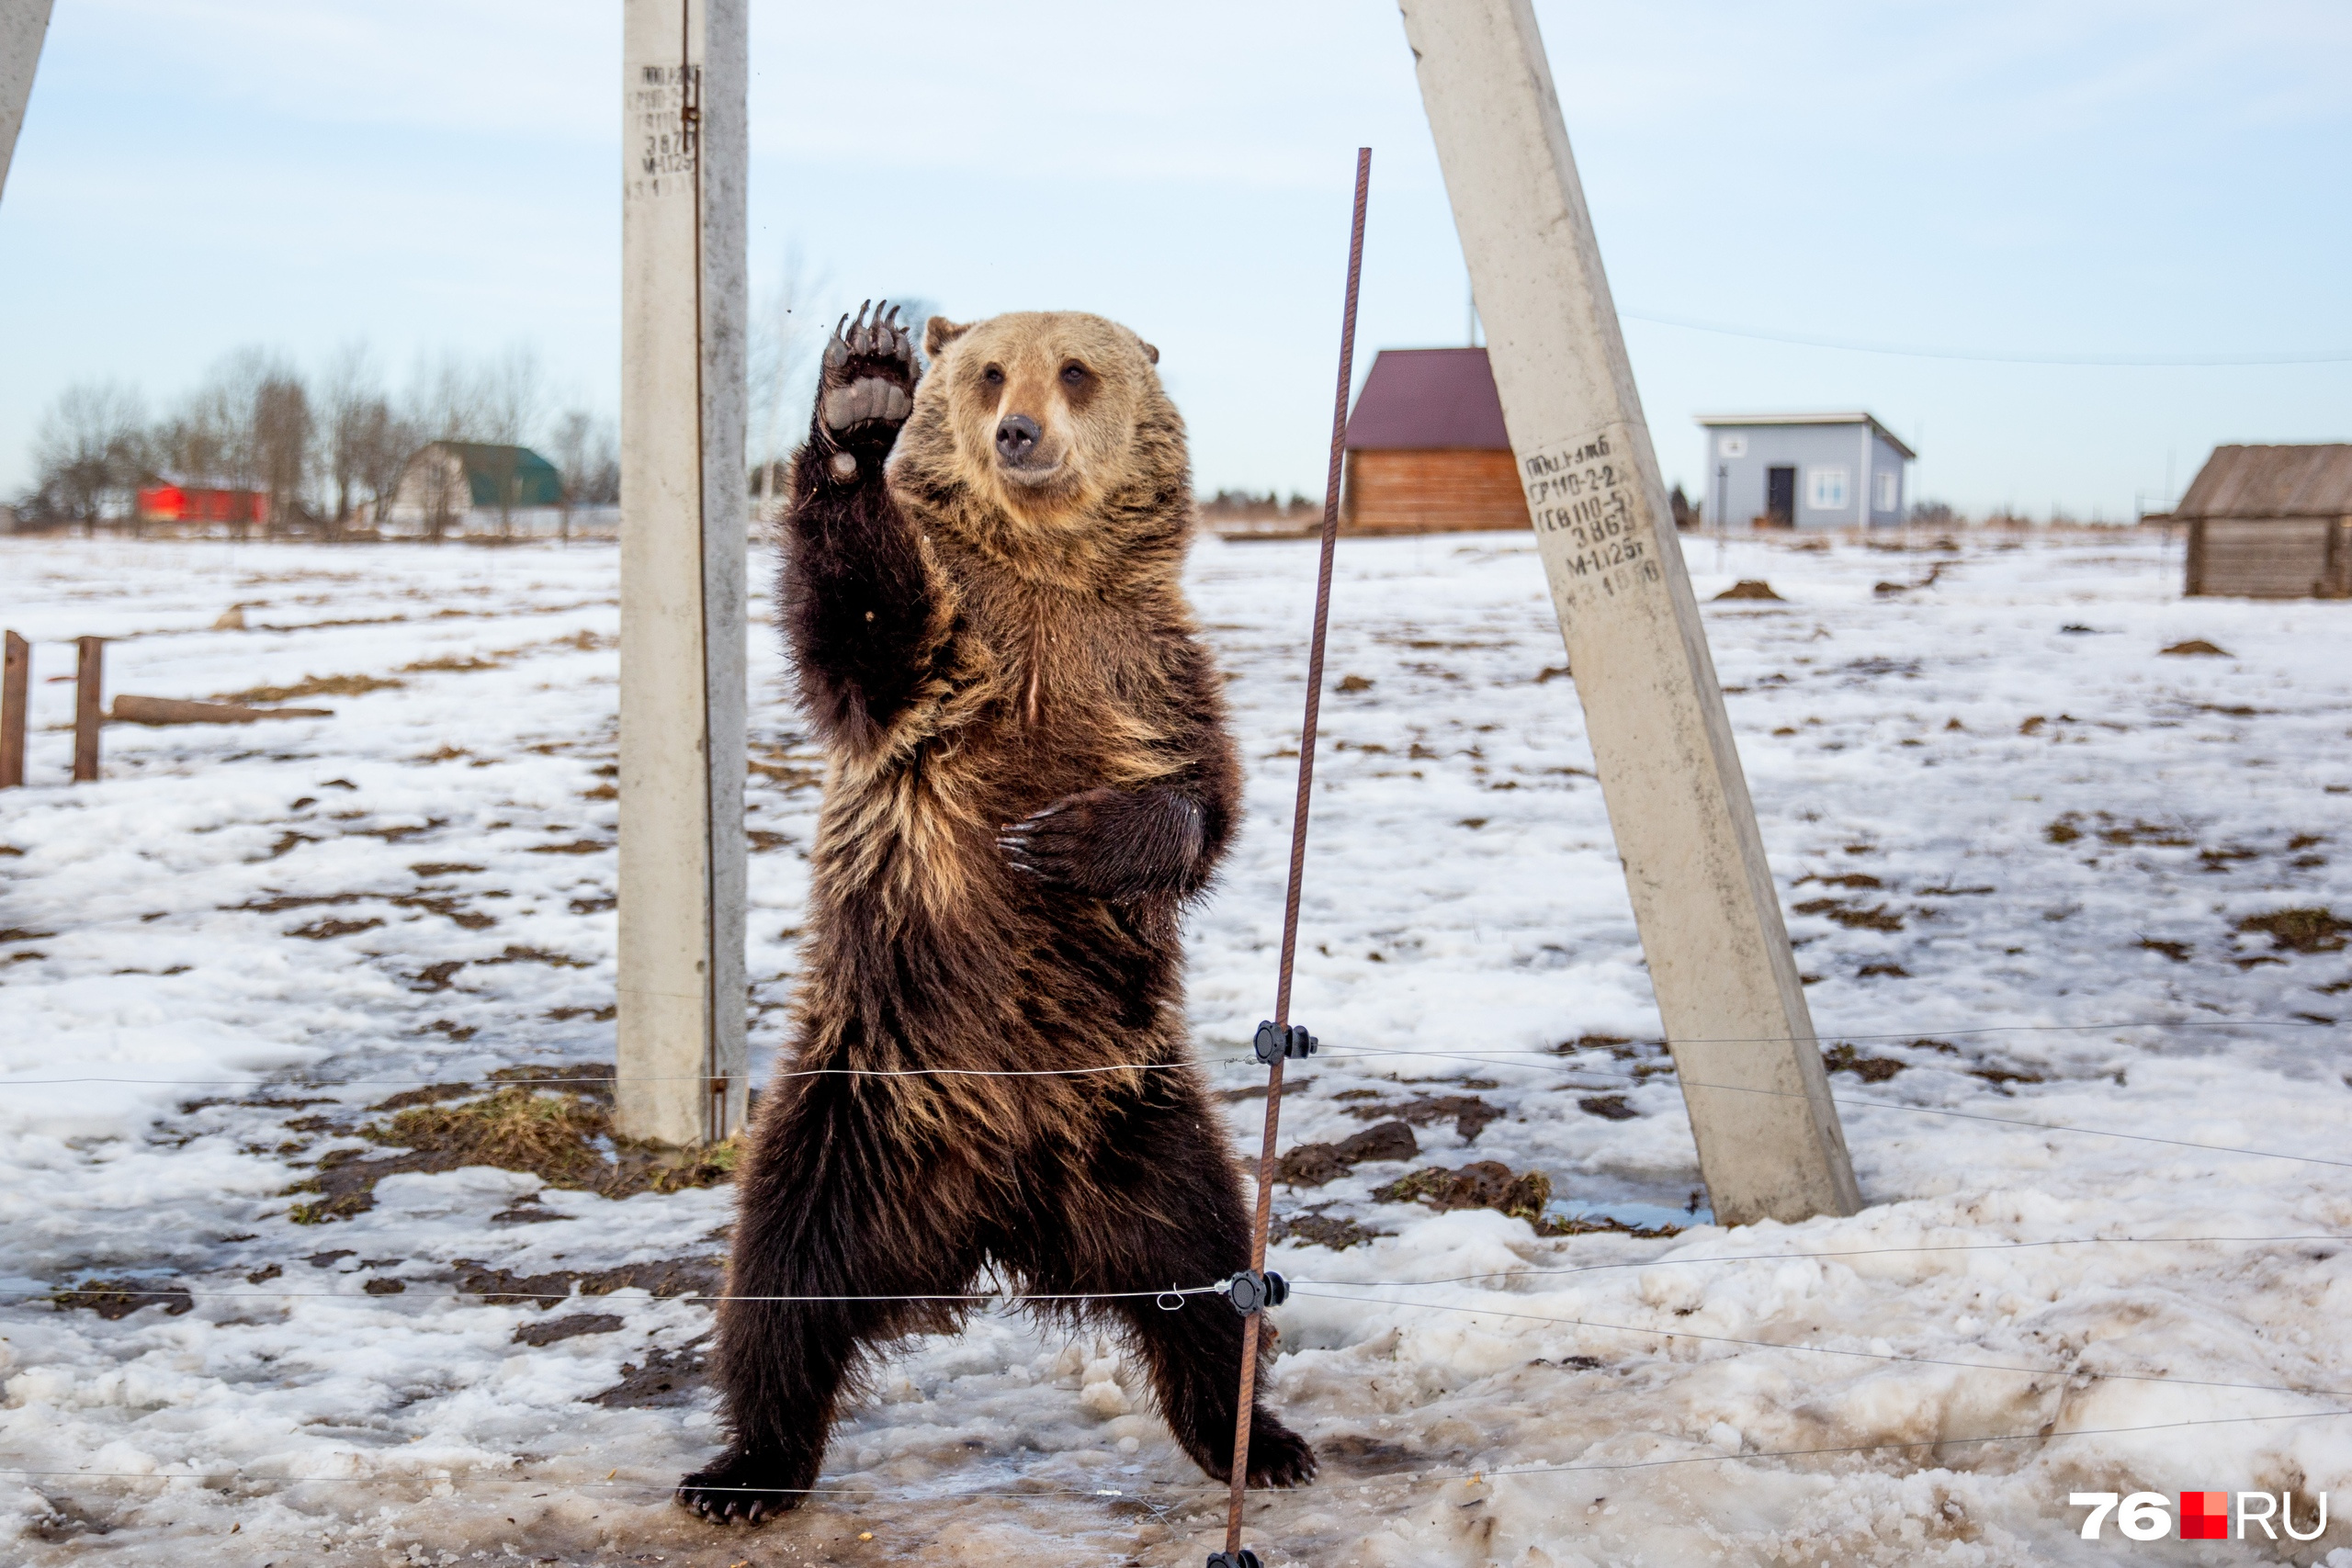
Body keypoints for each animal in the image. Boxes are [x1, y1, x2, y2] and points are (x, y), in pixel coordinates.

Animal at [673, 303, 1317, 1523]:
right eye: (984, 372)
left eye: (1074, 370)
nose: (1018, 431)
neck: (1044, 568)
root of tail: (994, 1211)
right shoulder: (946, 657)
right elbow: (864, 620)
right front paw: (860, 398)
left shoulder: (1151, 661)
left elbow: (1202, 803)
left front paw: (1064, 838)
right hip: (856, 1097)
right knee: (778, 1282)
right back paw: (743, 1470)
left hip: (1141, 1121)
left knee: (1214, 1275)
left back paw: (1258, 1436)